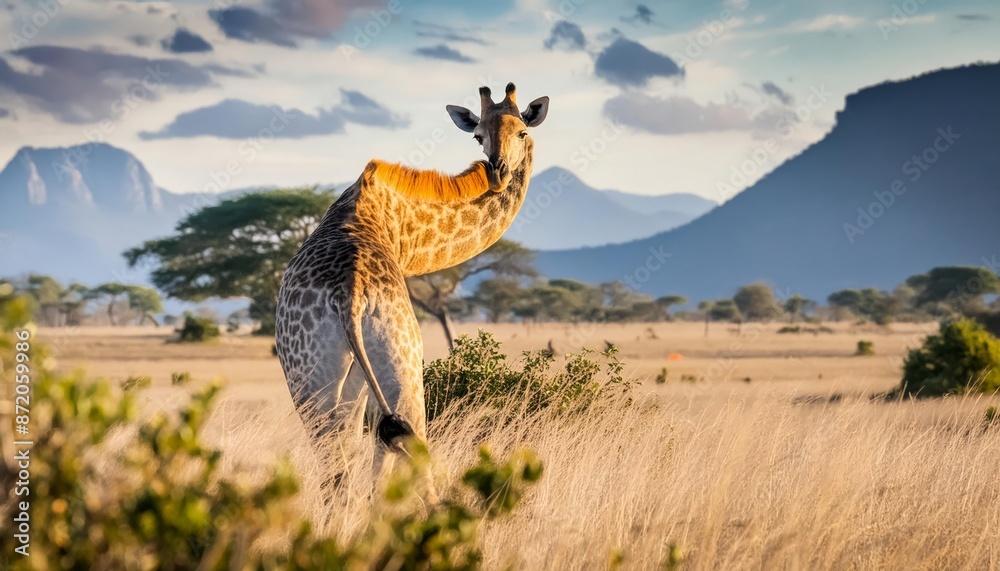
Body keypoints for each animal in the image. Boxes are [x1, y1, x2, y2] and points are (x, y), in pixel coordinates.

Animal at [275, 82, 549, 478]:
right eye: (478, 135)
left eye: (522, 132)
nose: (497, 173)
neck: (406, 234)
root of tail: (348, 296)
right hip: (405, 368)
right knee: (406, 447)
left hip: (310, 382)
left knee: (336, 466)